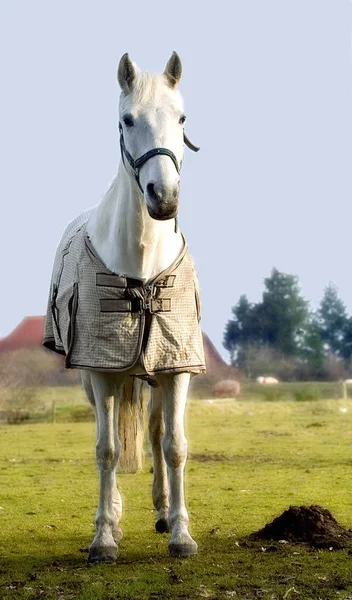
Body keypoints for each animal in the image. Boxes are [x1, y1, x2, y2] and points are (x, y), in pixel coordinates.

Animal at [44, 52, 204, 564]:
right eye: (127, 119)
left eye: (182, 118)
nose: (163, 197)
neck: (141, 263)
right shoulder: (101, 369)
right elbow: (107, 450)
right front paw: (103, 538)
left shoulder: (176, 366)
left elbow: (175, 446)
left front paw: (181, 533)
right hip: (99, 381)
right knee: (112, 436)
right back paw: (113, 517)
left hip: (151, 374)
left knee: (154, 434)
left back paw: (162, 510)